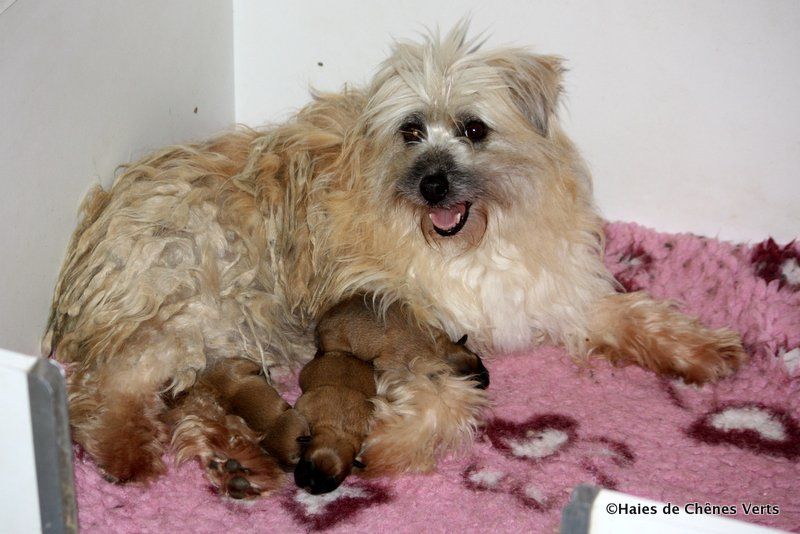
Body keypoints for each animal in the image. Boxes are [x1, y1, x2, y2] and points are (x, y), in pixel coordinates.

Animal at [42, 21, 744, 498]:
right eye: (410, 130)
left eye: (474, 129)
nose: (432, 184)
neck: (475, 238)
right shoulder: (407, 321)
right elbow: (451, 395)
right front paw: (389, 442)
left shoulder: (555, 292)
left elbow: (629, 313)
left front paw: (701, 347)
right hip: (206, 302)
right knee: (109, 384)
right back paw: (128, 451)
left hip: (231, 329)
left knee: (190, 396)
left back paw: (237, 458)